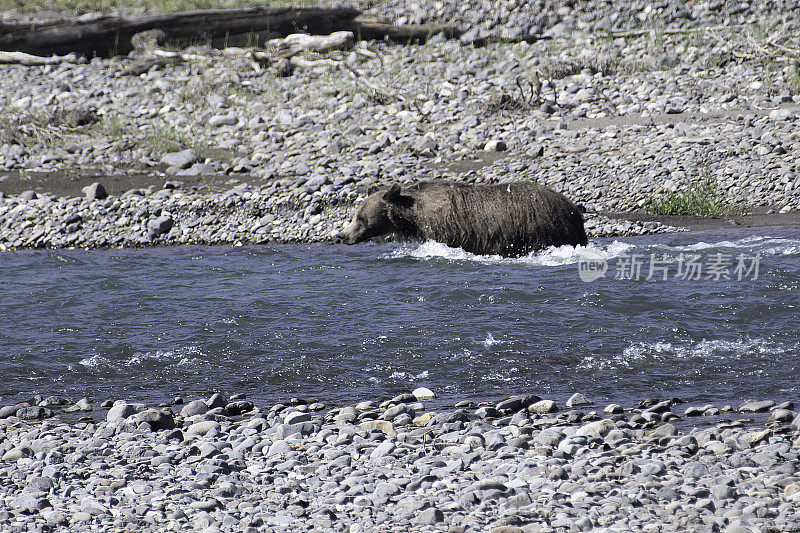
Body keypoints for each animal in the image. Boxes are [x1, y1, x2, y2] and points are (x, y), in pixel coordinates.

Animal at [334, 181, 584, 258]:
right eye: (354, 216)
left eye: (360, 218)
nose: (342, 235)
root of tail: (573, 208)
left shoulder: (447, 230)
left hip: (541, 227)